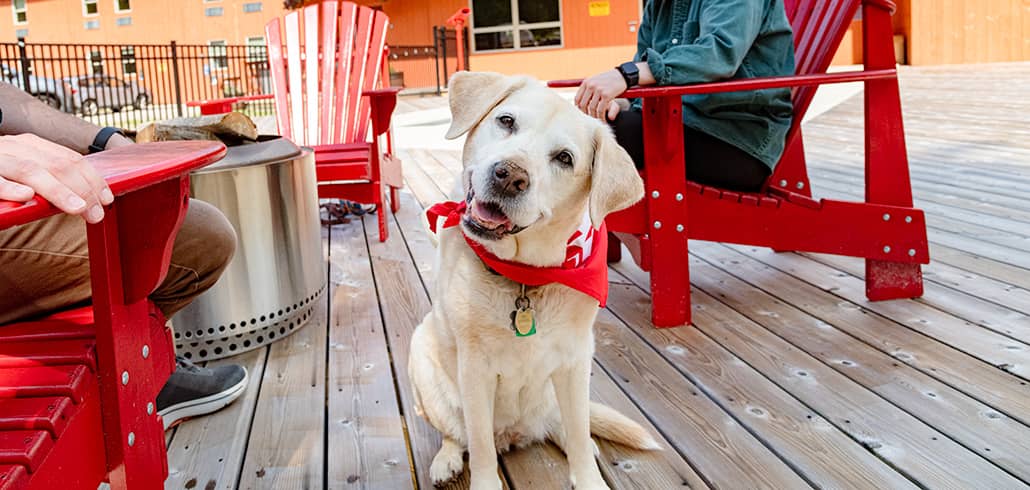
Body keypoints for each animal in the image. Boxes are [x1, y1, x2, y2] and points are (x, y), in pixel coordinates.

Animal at [405, 73, 655, 490]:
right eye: (506, 121)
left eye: (564, 158)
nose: (509, 176)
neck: (522, 276)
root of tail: (516, 433)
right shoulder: (474, 368)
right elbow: (480, 447)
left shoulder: (574, 361)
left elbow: (579, 433)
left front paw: (589, 477)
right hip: (422, 355)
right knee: (457, 435)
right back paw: (446, 461)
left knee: (569, 429)